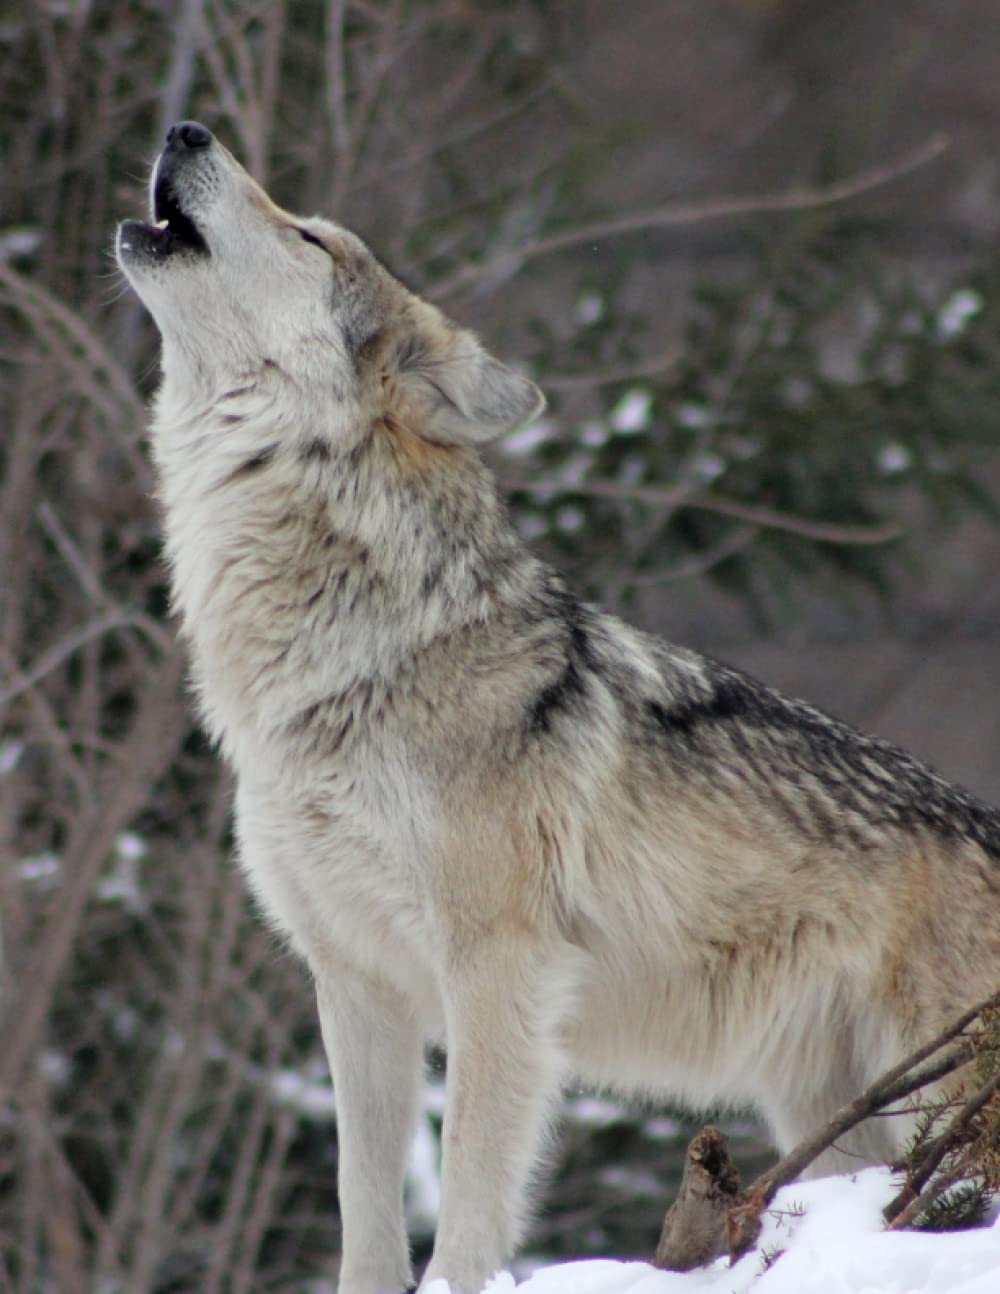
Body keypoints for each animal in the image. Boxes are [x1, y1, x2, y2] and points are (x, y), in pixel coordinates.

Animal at [116, 121, 1000, 1294]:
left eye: (309, 235)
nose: (187, 129)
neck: (347, 662)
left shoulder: (498, 971)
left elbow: (469, 1197)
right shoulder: (355, 984)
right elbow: (364, 1209)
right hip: (832, 1116)